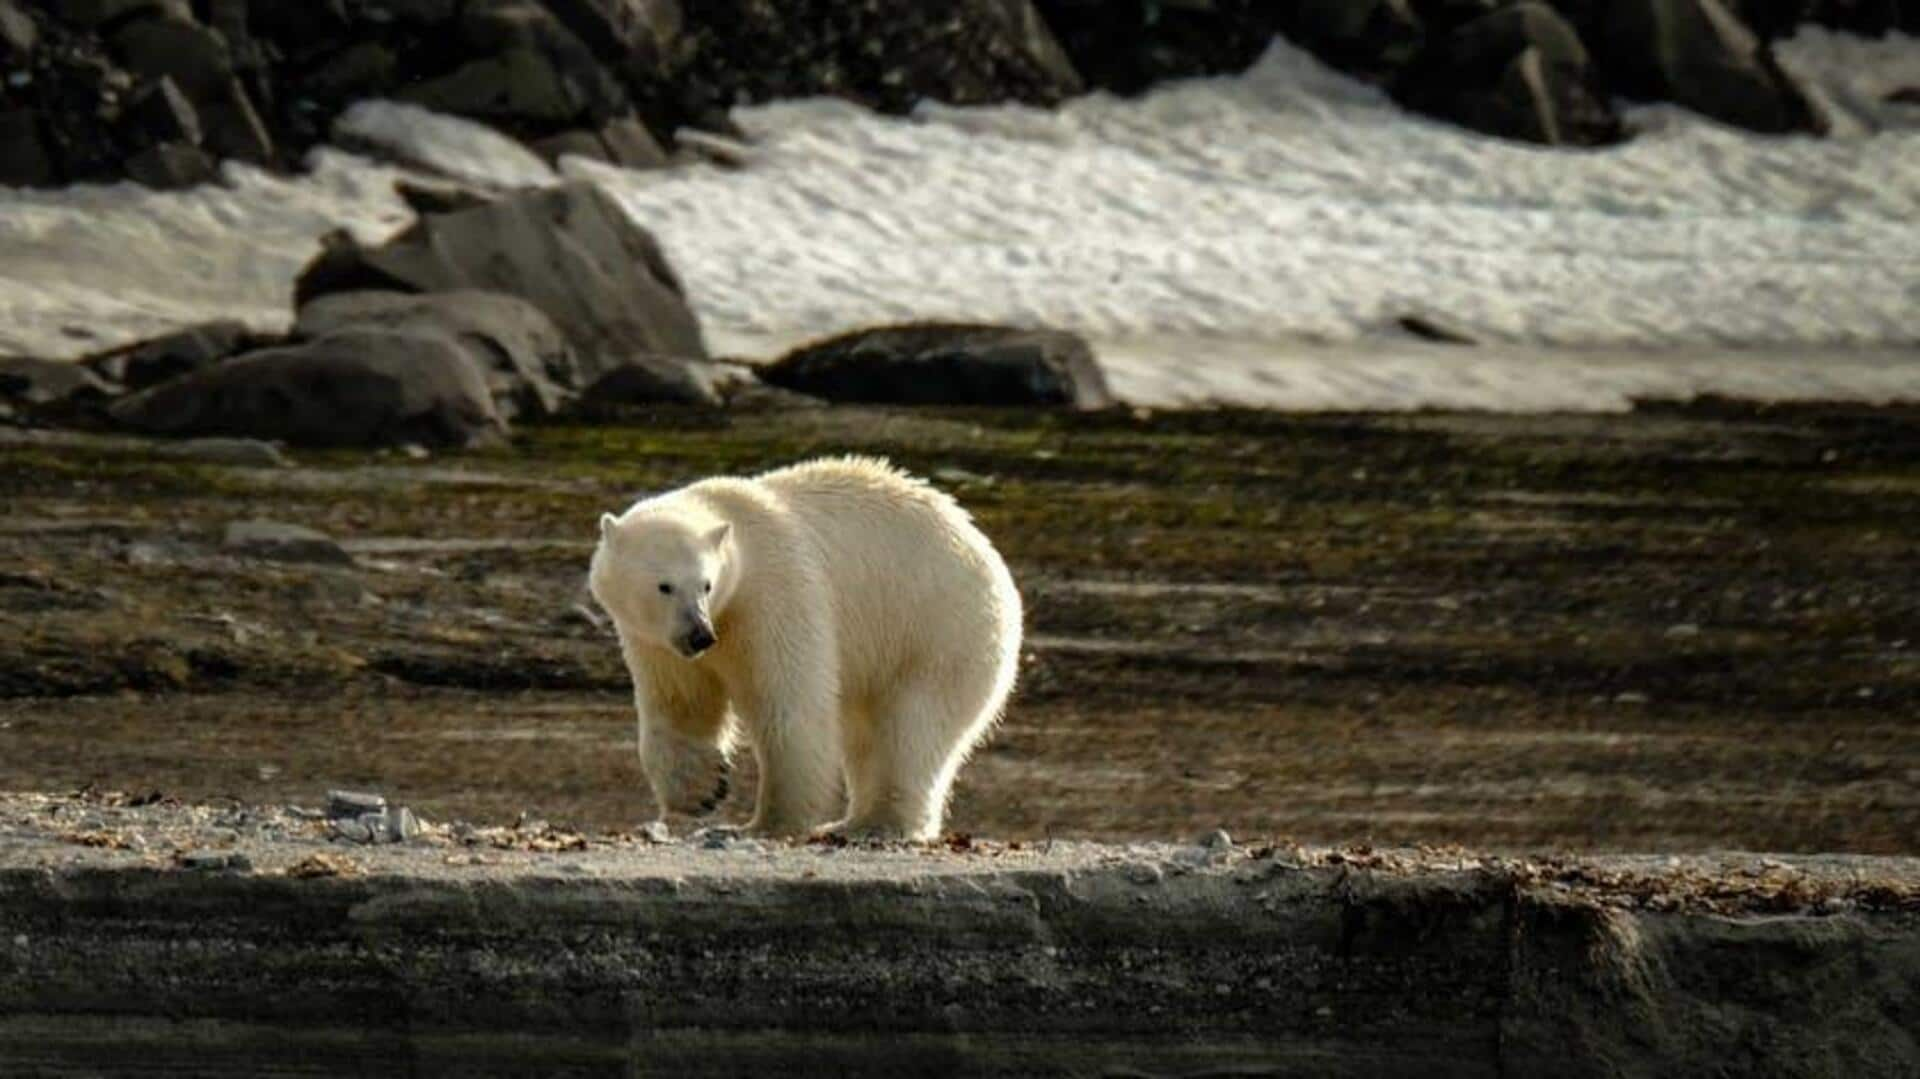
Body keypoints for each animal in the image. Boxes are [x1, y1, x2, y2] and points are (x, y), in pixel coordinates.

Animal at [583, 453, 1029, 840]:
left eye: (705, 584)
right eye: (665, 586)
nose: (700, 635)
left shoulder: (776, 591)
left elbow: (789, 701)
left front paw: (768, 822)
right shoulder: (656, 640)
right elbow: (681, 702)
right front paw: (701, 791)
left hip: (941, 628)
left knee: (913, 726)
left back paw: (878, 822)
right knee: (865, 731)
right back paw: (852, 820)